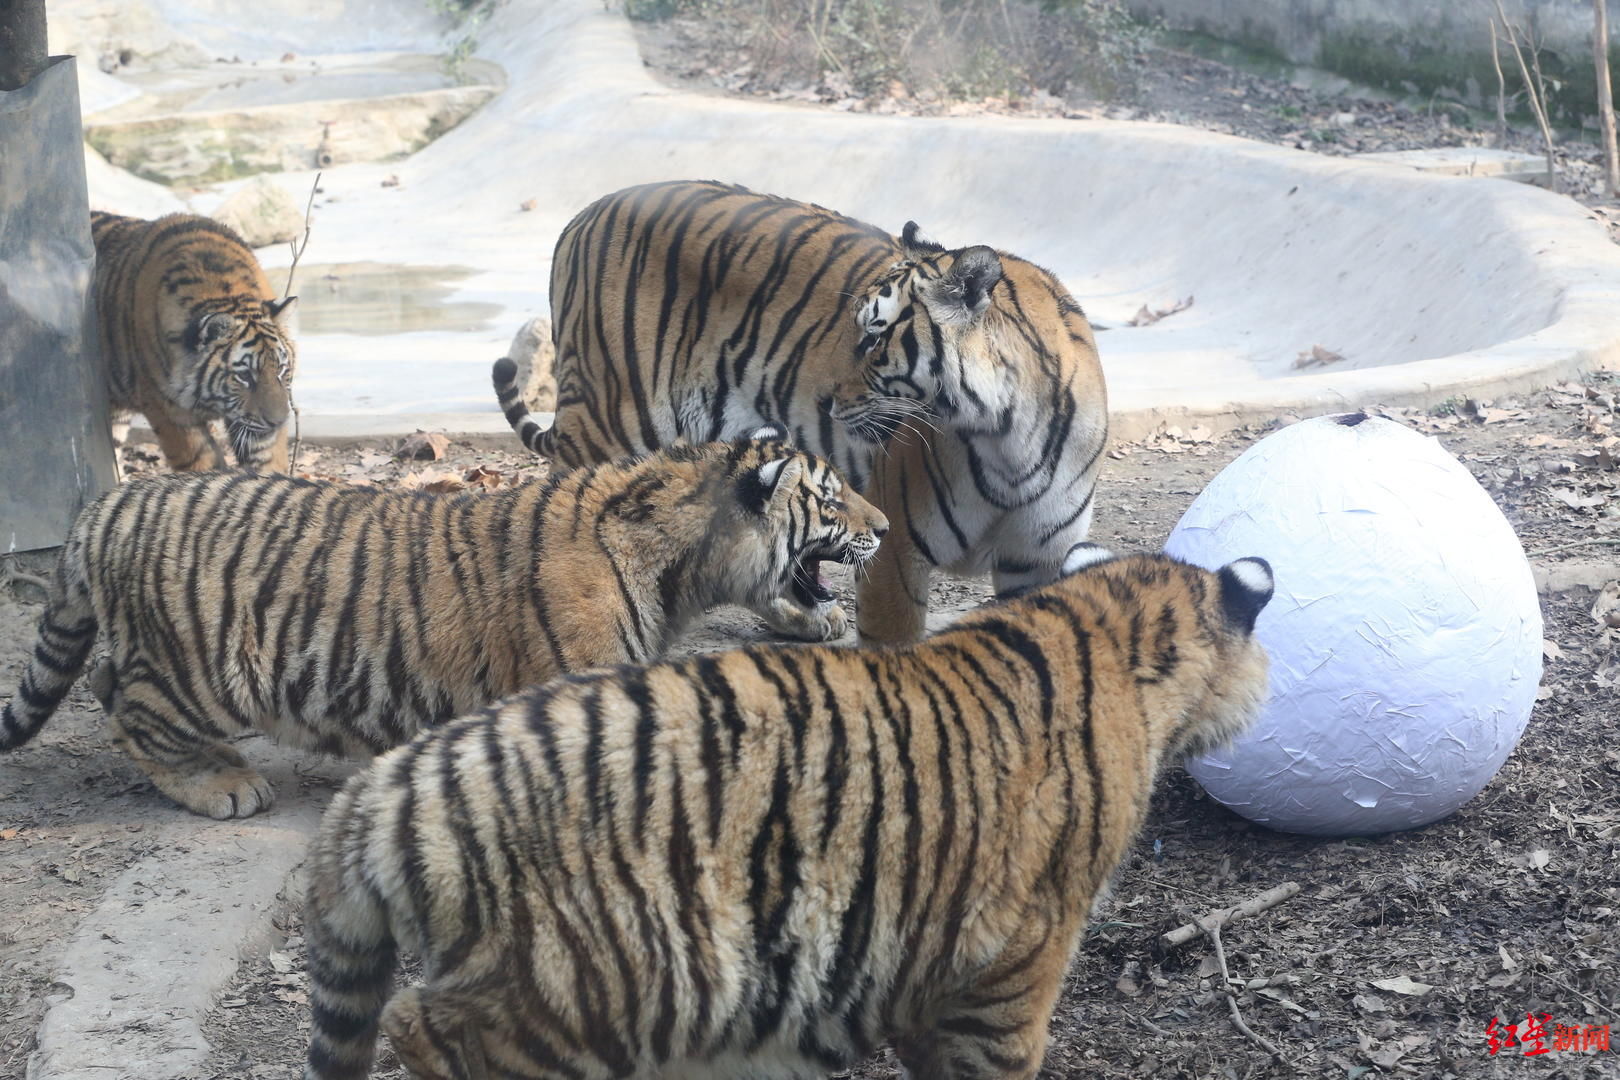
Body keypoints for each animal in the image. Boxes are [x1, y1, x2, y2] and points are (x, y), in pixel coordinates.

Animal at [0, 430, 887, 819]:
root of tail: (110, 501)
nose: (884, 525)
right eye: (833, 499)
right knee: (131, 710)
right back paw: (224, 784)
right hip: (201, 670)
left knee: (107, 681)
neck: (681, 561)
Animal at [486, 178, 1108, 647]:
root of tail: (582, 216)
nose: (827, 401)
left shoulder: (1039, 558)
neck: (1007, 436)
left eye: (873, 337)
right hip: (608, 421)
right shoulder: (896, 552)